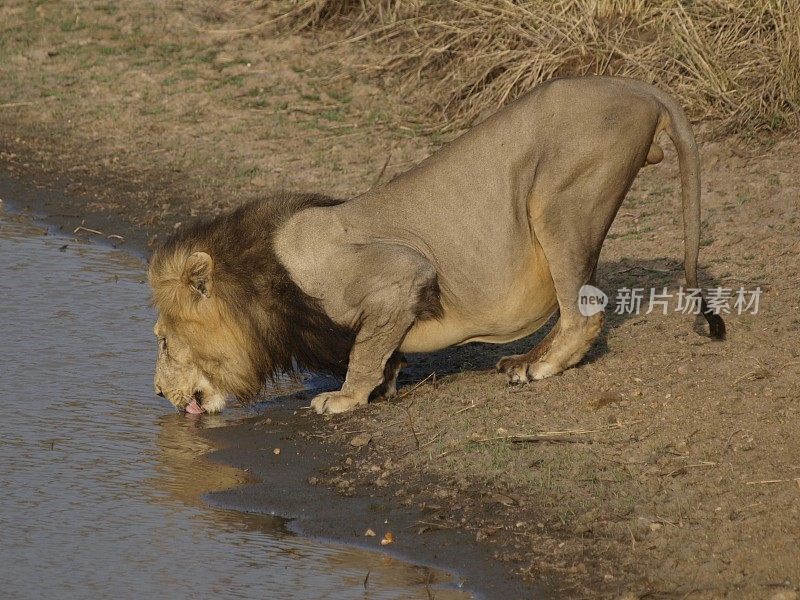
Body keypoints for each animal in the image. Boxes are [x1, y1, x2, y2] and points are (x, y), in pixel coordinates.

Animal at [148, 76, 724, 418]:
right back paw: (522, 360)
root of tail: (640, 88)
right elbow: (380, 350)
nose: (155, 393)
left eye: (163, 342)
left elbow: (365, 349)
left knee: (586, 312)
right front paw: (384, 383)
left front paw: (345, 397)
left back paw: (539, 368)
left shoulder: (397, 272)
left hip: (558, 201)